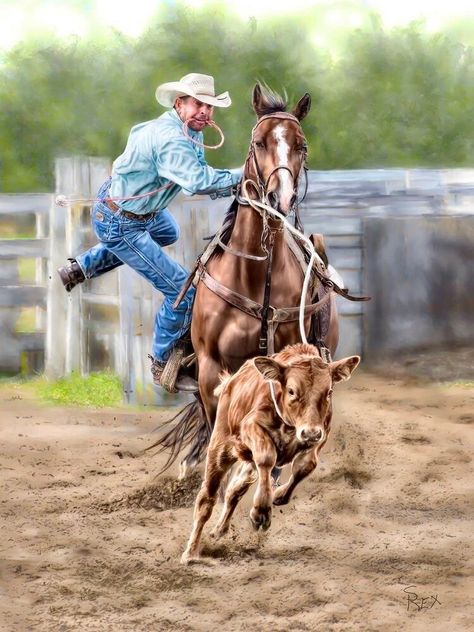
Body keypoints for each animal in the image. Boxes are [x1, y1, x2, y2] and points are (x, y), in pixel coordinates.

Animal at [152, 84, 340, 474]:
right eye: (258, 142)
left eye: (302, 145)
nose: (279, 197)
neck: (255, 278)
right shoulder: (210, 370)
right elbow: (216, 430)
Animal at [181, 344, 360, 564]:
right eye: (292, 391)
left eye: (329, 392)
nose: (310, 433)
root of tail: (232, 381)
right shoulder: (251, 427)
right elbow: (267, 458)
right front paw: (261, 513)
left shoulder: (321, 435)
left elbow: (305, 466)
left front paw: (279, 494)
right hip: (220, 447)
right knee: (206, 500)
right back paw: (191, 553)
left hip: (247, 462)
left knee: (234, 490)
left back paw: (219, 530)